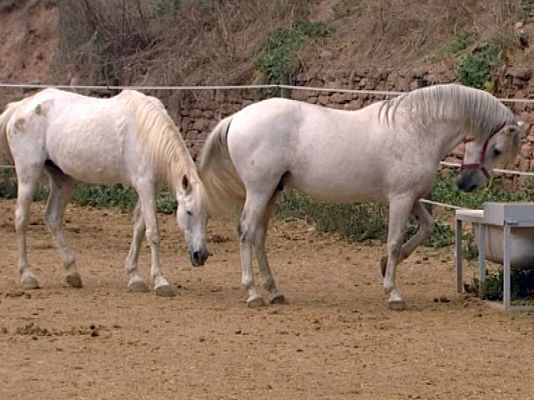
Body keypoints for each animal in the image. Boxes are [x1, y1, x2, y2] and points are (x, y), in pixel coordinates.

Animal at [0, 87, 209, 296]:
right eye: (189, 212)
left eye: (207, 216)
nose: (201, 255)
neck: (147, 133)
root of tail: (19, 107)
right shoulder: (145, 185)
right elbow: (153, 233)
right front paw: (160, 281)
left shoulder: (152, 188)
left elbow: (139, 228)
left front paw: (134, 277)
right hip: (28, 174)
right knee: (22, 219)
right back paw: (27, 276)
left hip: (63, 179)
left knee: (53, 217)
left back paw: (72, 273)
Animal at [202, 83, 528, 310]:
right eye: (497, 149)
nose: (467, 184)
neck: (417, 128)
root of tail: (237, 117)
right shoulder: (401, 199)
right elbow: (394, 242)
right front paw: (393, 294)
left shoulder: (413, 199)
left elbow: (426, 228)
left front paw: (384, 266)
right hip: (259, 190)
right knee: (246, 231)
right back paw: (253, 293)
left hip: (272, 192)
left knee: (259, 236)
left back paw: (274, 291)